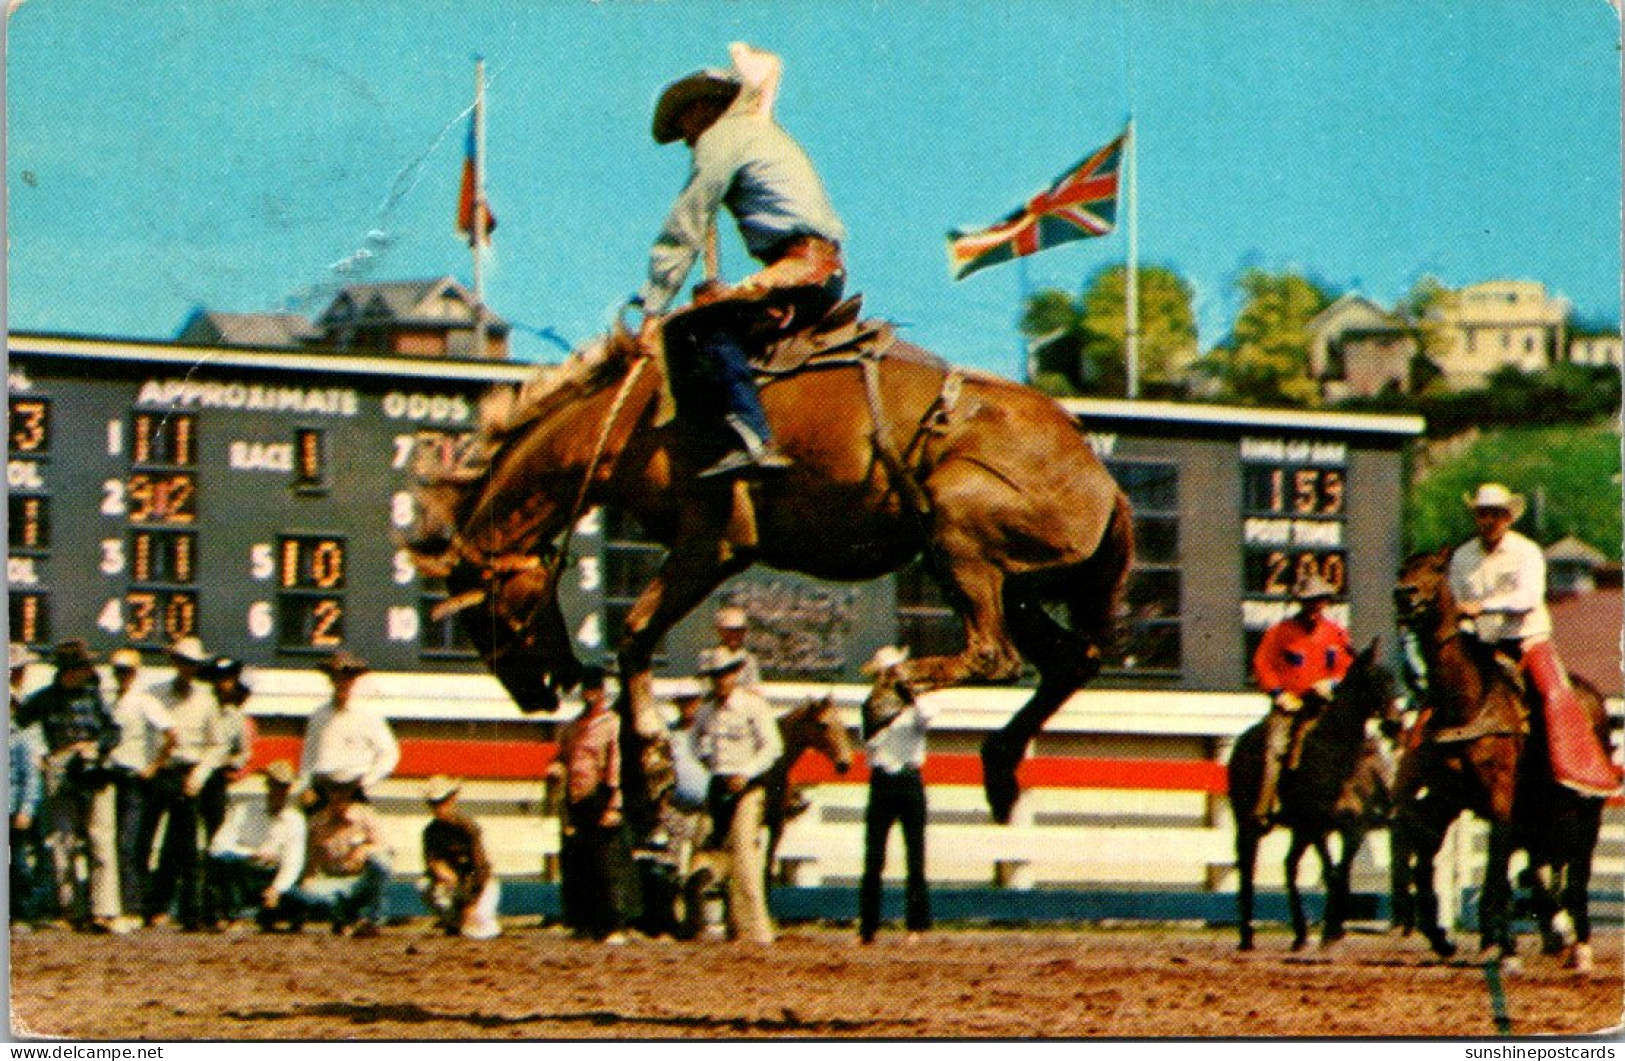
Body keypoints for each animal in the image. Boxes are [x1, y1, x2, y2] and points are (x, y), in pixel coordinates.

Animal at [399, 295, 1131, 828]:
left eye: (482, 614)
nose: (534, 691)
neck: (634, 416)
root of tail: (1102, 480)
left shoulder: (713, 543)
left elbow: (634, 632)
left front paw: (650, 775)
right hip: (1011, 582)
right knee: (1069, 660)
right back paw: (999, 769)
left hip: (958, 539)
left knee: (994, 655)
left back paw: (885, 699)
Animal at [1222, 636, 1404, 948]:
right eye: (1371, 680)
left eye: (1392, 680)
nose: (1395, 724)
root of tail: (1240, 746)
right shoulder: (1317, 826)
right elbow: (1331, 872)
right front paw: (1331, 931)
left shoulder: (1352, 829)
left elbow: (1341, 873)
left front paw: (1334, 929)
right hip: (1249, 822)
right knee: (1248, 868)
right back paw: (1247, 937)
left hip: (1299, 831)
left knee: (1290, 866)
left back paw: (1300, 934)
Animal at [1384, 545, 1612, 968]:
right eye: (1403, 569)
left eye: (1436, 568)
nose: (1404, 595)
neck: (1468, 704)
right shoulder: (1449, 797)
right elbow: (1429, 852)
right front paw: (1444, 936)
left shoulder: (1500, 796)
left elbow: (1495, 869)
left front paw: (1501, 947)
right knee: (1543, 870)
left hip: (1586, 812)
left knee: (1577, 872)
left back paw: (1581, 946)